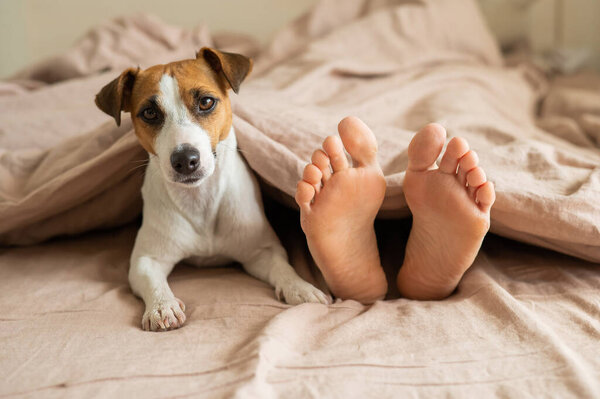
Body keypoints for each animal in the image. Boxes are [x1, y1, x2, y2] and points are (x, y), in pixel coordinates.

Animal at [95, 48, 328, 332]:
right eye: (149, 113)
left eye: (206, 102)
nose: (185, 159)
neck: (200, 199)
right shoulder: (146, 259)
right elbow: (153, 282)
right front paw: (162, 306)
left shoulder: (261, 251)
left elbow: (283, 267)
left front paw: (300, 287)